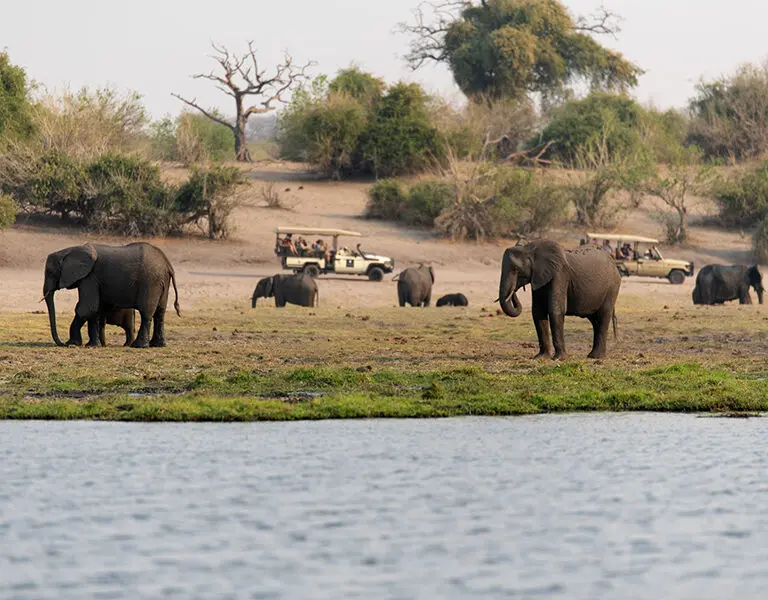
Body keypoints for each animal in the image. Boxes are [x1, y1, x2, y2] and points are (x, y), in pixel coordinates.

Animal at [43, 242, 180, 348]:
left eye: (50, 272)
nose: (61, 343)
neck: (69, 250)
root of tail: (168, 264)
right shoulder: (93, 279)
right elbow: (95, 310)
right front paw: (92, 345)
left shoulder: (90, 277)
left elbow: (86, 308)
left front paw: (72, 343)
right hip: (162, 281)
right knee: (160, 312)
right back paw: (158, 345)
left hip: (151, 282)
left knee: (146, 313)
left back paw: (139, 346)